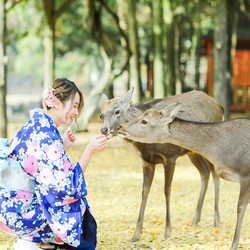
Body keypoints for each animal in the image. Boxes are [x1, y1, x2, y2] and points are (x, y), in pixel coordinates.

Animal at [98, 88, 224, 242]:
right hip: (193, 152)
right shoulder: (147, 162)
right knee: (205, 173)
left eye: (117, 111)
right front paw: (136, 234)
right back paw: (195, 221)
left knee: (215, 174)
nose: (104, 130)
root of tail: (219, 106)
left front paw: (168, 231)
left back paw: (216, 221)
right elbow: (144, 191)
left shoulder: (170, 157)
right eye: (101, 115)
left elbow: (167, 190)